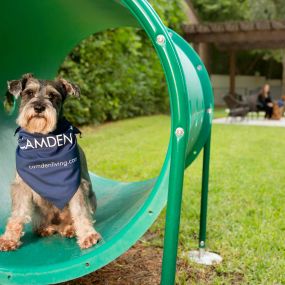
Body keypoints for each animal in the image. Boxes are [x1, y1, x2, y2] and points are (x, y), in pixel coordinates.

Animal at [0, 72, 100, 250]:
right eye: (29, 93)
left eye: (53, 96)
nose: (39, 108)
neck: (42, 140)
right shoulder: (21, 186)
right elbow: (17, 213)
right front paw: (9, 238)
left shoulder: (76, 185)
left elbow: (80, 211)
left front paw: (88, 235)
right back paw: (44, 228)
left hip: (91, 199)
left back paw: (70, 229)